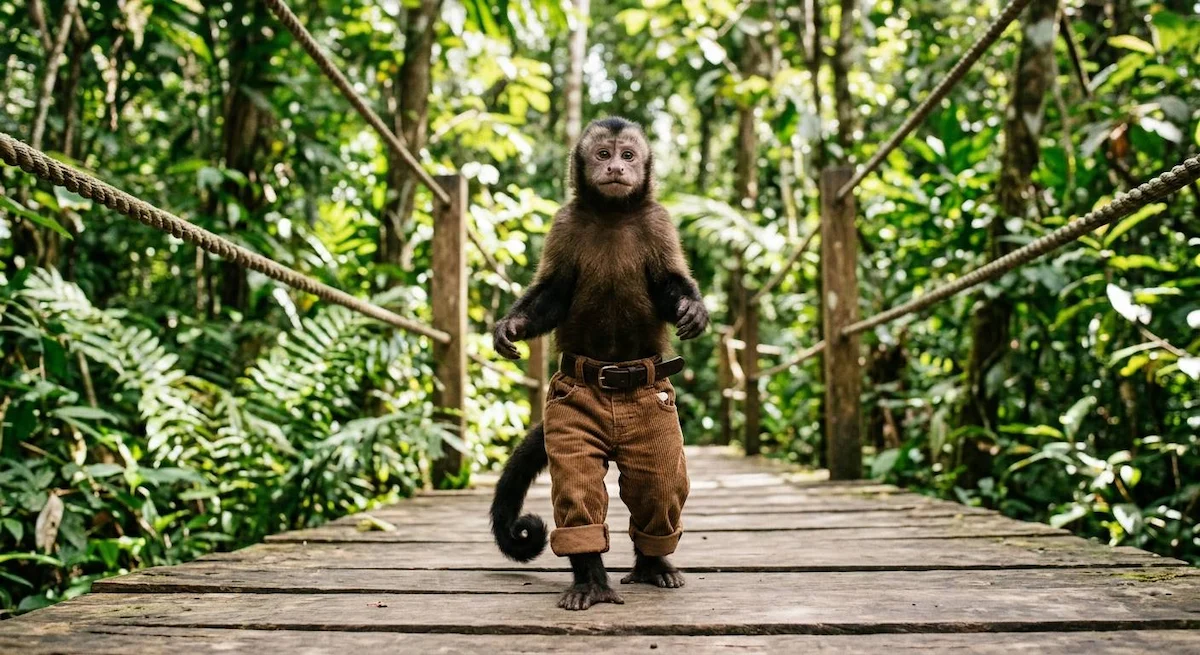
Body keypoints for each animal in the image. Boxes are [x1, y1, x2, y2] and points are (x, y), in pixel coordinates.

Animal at [489, 117, 708, 611]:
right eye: (603, 154)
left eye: (628, 156)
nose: (615, 169)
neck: (612, 213)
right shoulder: (564, 223)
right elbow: (553, 294)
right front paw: (512, 324)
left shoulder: (658, 221)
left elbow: (668, 284)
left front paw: (692, 307)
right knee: (579, 480)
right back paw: (590, 578)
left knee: (656, 487)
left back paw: (653, 564)